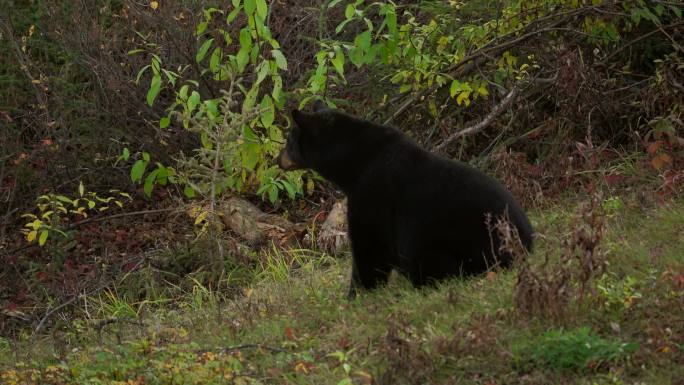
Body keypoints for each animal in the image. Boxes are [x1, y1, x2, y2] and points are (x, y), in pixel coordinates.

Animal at [278, 100, 536, 296]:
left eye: (289, 141)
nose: (277, 160)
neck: (354, 163)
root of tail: (523, 246)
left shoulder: (371, 194)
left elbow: (369, 246)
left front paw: (357, 293)